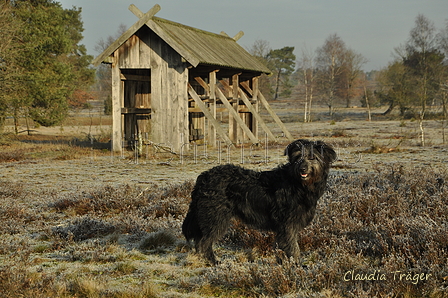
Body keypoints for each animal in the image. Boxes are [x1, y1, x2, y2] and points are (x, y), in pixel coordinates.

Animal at [182, 139, 336, 264]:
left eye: (312, 157)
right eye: (298, 157)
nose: (302, 169)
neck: (298, 183)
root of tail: (202, 178)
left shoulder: (284, 226)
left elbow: (281, 245)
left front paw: (282, 262)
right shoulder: (288, 224)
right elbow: (292, 246)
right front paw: (296, 264)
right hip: (216, 216)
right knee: (204, 242)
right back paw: (213, 261)